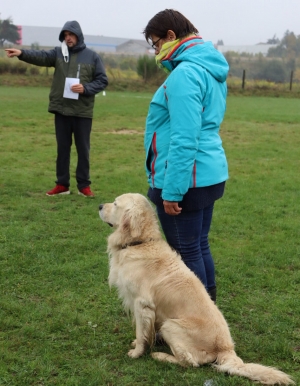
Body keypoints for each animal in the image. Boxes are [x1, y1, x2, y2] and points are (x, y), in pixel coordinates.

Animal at [98, 195, 292, 384]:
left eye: (115, 204)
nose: (99, 206)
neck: (139, 242)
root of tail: (227, 349)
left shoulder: (142, 304)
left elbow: (141, 332)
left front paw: (137, 352)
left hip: (170, 324)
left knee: (191, 362)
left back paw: (160, 355)